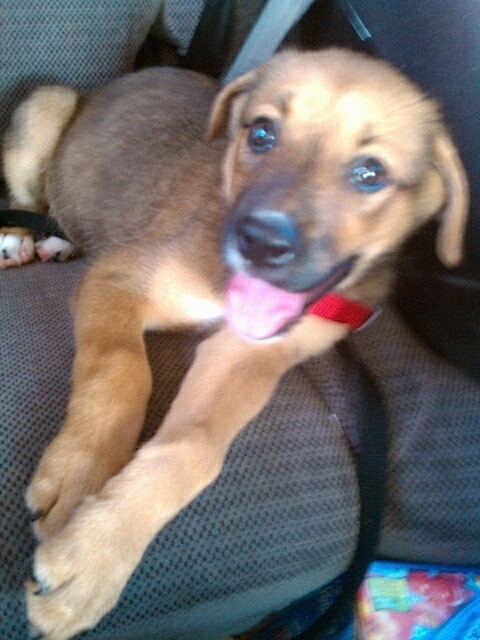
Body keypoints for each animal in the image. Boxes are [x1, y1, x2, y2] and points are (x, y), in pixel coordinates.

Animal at [2, 47, 468, 636]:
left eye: (371, 173)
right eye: (262, 133)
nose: (260, 243)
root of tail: (100, 89)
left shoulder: (245, 354)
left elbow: (193, 450)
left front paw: (93, 560)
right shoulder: (120, 276)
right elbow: (119, 370)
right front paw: (81, 472)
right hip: (47, 105)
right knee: (28, 197)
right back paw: (20, 239)